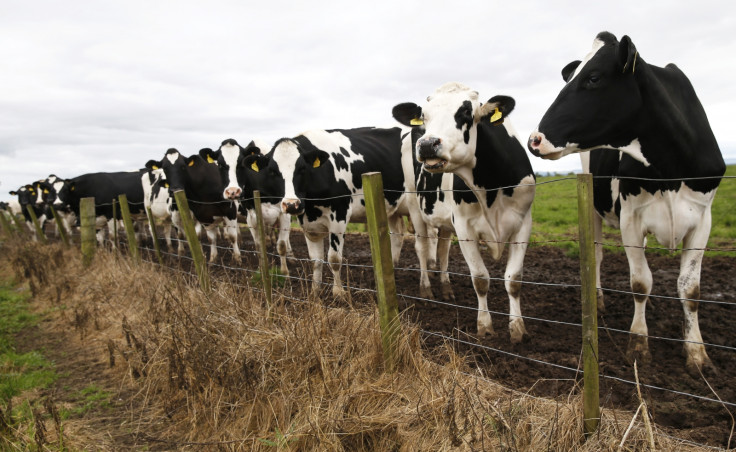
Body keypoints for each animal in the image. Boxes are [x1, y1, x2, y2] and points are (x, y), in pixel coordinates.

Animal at [201, 138, 296, 274]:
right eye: (220, 165)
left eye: (240, 164)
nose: (233, 191)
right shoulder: (251, 217)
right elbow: (258, 245)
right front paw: (262, 269)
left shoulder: (285, 212)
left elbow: (281, 244)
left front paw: (285, 272)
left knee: (285, 239)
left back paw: (291, 257)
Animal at [243, 126, 420, 296]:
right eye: (272, 171)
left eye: (302, 168)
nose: (292, 205)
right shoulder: (307, 223)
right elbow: (316, 260)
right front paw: (315, 291)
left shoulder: (340, 215)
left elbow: (334, 259)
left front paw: (338, 292)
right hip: (392, 208)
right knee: (397, 235)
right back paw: (393, 271)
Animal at [394, 82, 536, 342]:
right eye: (424, 116)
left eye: (466, 113)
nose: (427, 144)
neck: (491, 186)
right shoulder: (464, 226)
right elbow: (480, 279)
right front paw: (485, 326)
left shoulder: (523, 223)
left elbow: (514, 280)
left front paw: (518, 329)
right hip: (414, 204)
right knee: (422, 247)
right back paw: (426, 290)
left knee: (442, 251)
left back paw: (446, 288)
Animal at [528, 31, 724, 374]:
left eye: (593, 78)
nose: (535, 140)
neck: (670, 168)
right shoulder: (631, 218)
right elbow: (640, 282)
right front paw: (638, 344)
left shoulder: (703, 219)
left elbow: (690, 289)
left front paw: (697, 352)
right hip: (593, 207)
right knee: (595, 257)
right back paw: (598, 300)